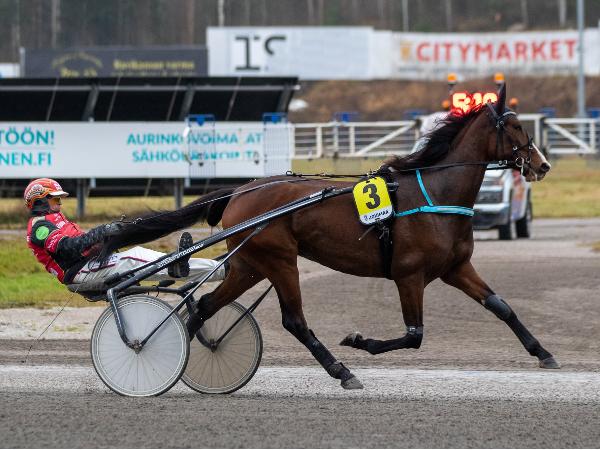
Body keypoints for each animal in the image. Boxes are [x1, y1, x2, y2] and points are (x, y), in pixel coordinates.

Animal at [105, 84, 558, 389]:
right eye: (516, 126)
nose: (543, 165)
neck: (436, 195)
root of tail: (240, 190)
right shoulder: (409, 275)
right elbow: (414, 336)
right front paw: (359, 341)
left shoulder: (456, 268)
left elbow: (502, 307)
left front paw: (544, 353)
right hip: (280, 260)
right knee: (293, 320)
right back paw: (342, 370)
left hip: (250, 264)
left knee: (202, 306)